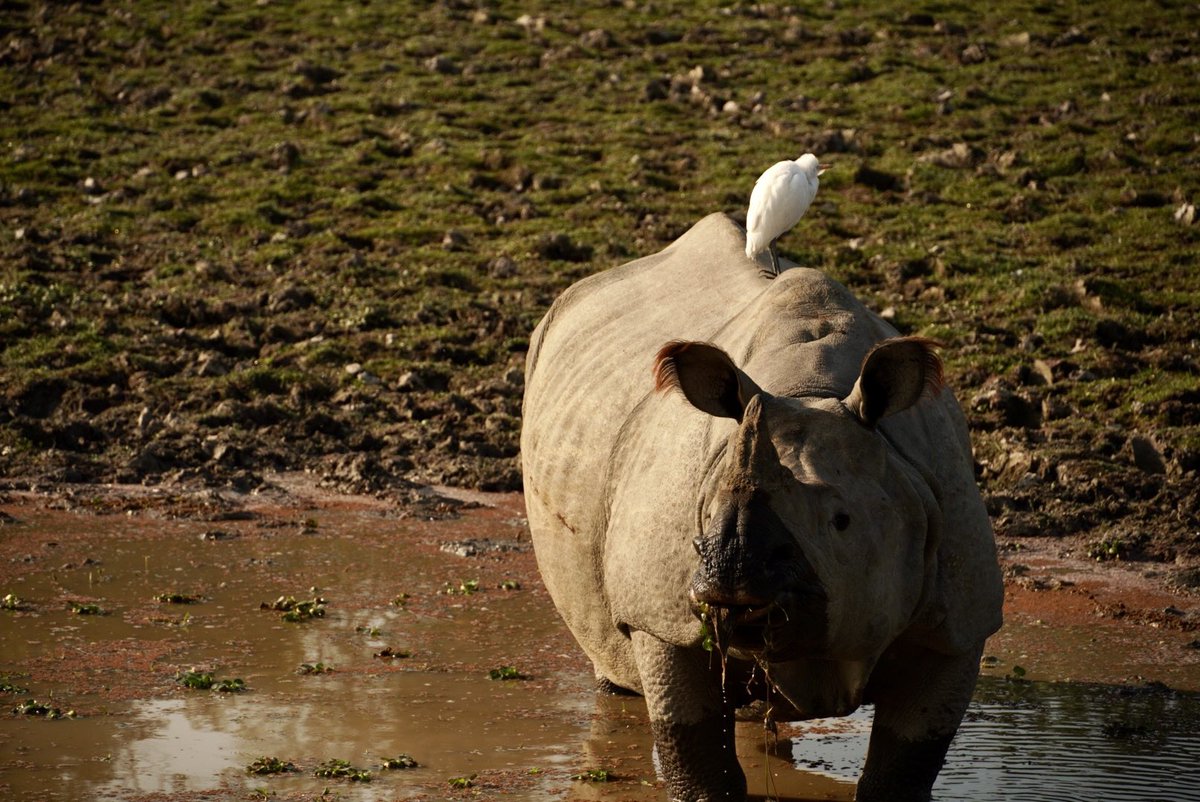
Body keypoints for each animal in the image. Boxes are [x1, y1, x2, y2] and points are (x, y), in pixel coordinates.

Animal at [520, 213, 1003, 802]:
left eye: (841, 521)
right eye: (703, 516)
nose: (731, 581)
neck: (810, 389)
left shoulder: (959, 622)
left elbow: (904, 767)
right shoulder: (660, 617)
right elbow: (698, 759)